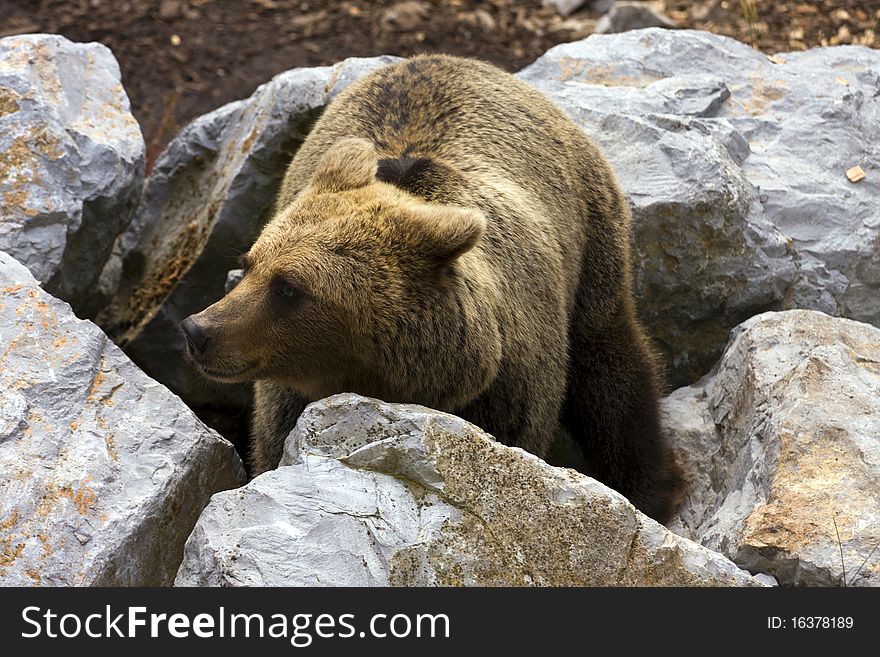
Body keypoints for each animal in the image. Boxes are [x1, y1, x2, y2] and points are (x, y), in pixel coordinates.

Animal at [182, 53, 684, 524]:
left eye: (289, 288)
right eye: (249, 264)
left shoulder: (506, 392)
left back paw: (650, 487)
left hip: (589, 233)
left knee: (609, 364)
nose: (198, 330)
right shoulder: (290, 403)